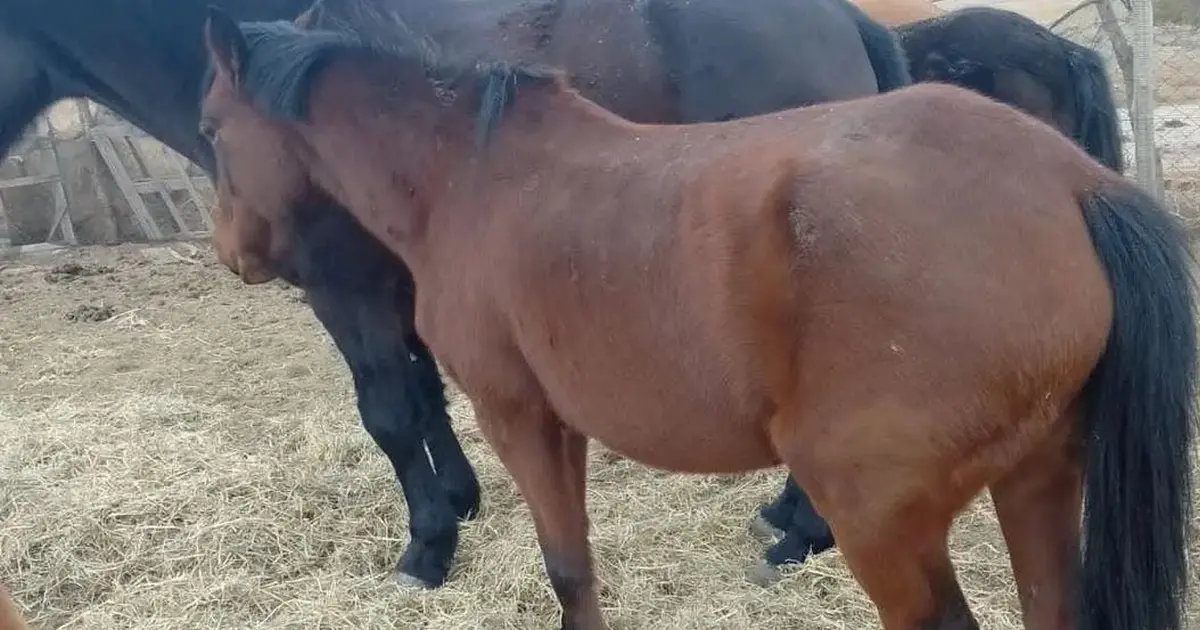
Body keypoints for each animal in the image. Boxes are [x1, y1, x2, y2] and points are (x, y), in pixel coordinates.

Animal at [1, 0, 908, 589]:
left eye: (214, 127)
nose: (235, 255)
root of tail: (849, 22)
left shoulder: (346, 289)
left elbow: (389, 412)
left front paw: (426, 550)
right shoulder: (409, 286)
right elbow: (426, 397)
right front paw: (461, 503)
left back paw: (801, 536)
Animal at [202, 7, 1195, 630]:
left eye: (211, 130)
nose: (235, 256)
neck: (473, 177)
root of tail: (1072, 187)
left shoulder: (515, 415)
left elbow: (567, 569)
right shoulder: (559, 423)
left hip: (885, 525)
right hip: (1035, 481)